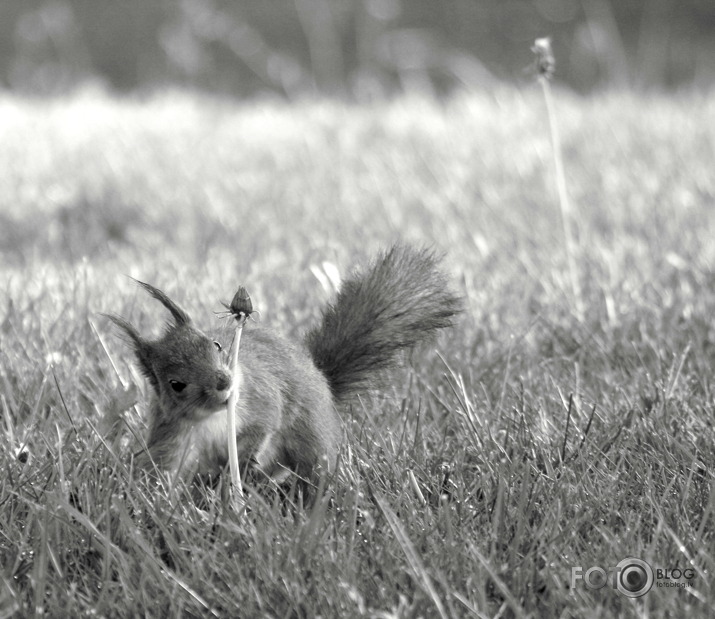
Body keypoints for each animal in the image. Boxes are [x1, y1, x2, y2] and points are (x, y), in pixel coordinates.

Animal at [107, 245, 464, 486]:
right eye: (176, 384)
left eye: (216, 345)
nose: (224, 381)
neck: (217, 417)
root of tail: (322, 382)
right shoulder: (174, 435)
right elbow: (163, 468)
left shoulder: (259, 397)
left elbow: (266, 421)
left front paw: (245, 460)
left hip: (310, 434)